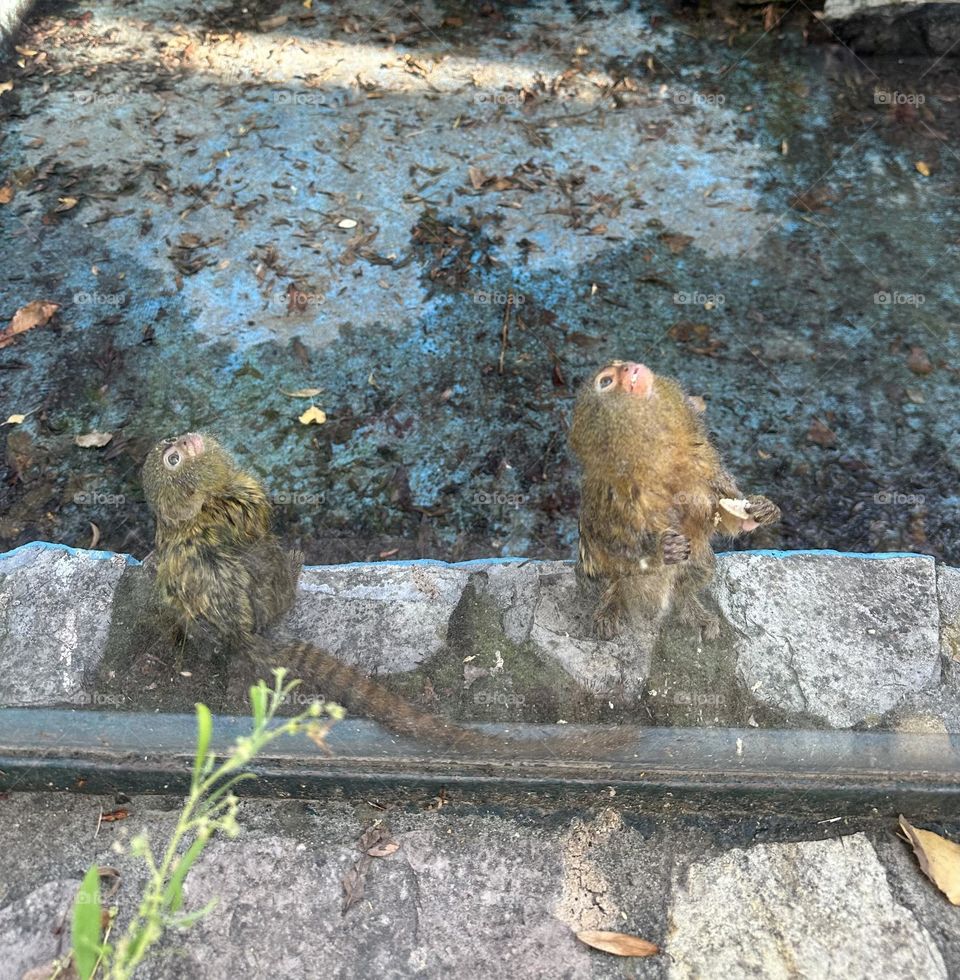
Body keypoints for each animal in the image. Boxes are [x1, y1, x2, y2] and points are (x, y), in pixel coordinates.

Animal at [141, 431, 635, 760]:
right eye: (173, 458)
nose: (185, 438)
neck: (196, 508)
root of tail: (240, 634)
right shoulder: (239, 507)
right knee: (266, 556)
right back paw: (293, 570)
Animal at [570, 360, 780, 641]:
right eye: (606, 382)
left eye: (617, 365)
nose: (627, 367)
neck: (657, 455)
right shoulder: (607, 492)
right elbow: (610, 542)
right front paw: (661, 549)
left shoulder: (704, 461)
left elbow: (718, 515)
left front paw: (758, 512)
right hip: (596, 576)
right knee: (602, 577)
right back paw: (610, 606)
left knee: (697, 567)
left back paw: (689, 606)